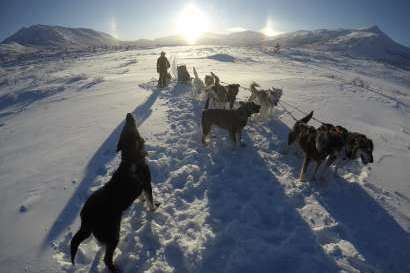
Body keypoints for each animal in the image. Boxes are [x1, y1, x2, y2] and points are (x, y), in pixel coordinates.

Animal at [70, 112, 159, 270]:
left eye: (126, 127)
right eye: (130, 127)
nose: (128, 114)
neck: (131, 158)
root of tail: (86, 218)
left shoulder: (142, 187)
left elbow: (142, 197)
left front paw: (142, 201)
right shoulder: (147, 183)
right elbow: (150, 201)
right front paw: (153, 209)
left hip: (103, 234)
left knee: (102, 246)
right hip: (113, 234)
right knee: (106, 258)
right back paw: (116, 268)